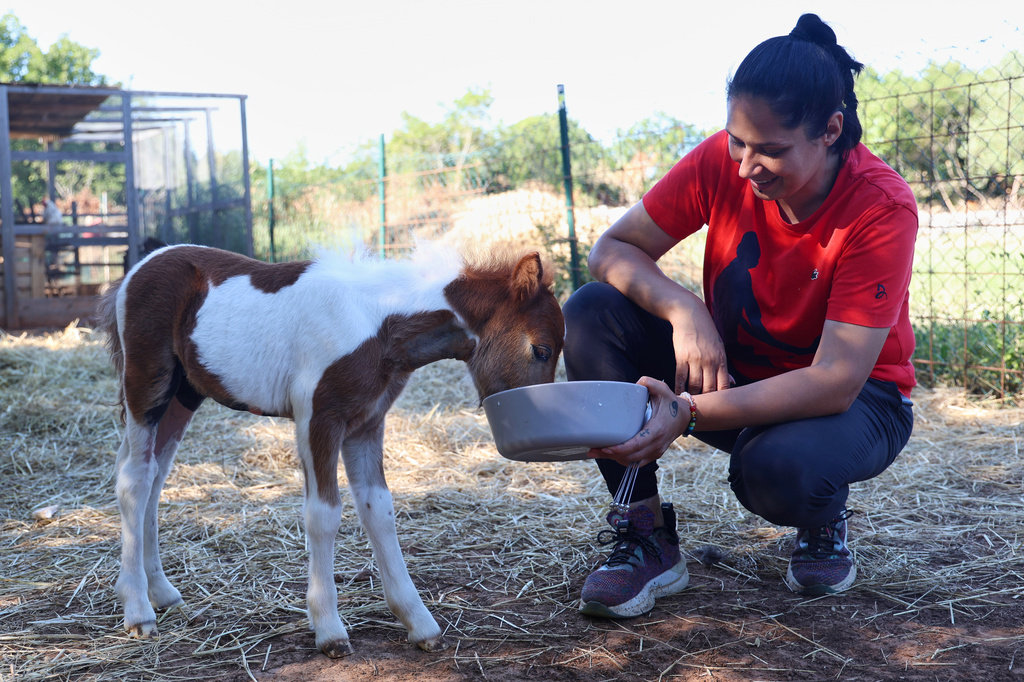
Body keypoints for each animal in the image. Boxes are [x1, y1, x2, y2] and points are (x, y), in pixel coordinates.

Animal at [97, 242, 565, 658]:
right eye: (541, 349)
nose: (539, 417)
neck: (378, 322)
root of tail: (137, 269)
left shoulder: (367, 424)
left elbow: (379, 509)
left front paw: (419, 623)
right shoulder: (318, 419)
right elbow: (324, 514)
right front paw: (329, 630)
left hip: (184, 394)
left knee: (154, 477)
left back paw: (162, 592)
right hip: (148, 385)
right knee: (134, 479)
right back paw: (138, 610)